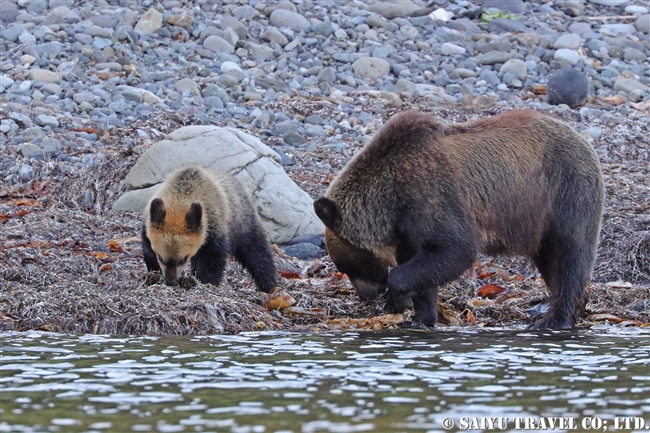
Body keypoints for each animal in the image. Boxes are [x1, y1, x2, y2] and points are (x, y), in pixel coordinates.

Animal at [314, 109, 604, 330]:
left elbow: (456, 248)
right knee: (551, 261)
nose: (365, 295)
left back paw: (555, 319)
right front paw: (420, 316)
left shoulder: (432, 193)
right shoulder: (408, 225)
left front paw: (396, 299)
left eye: (350, 267)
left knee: (570, 252)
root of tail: (583, 139)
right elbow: (423, 265)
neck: (390, 199)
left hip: (564, 191)